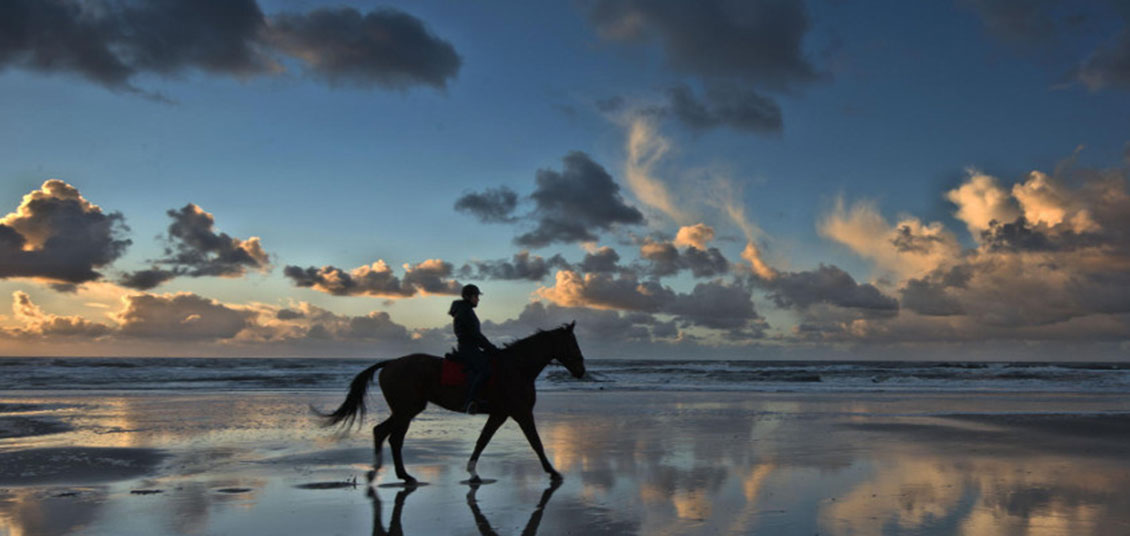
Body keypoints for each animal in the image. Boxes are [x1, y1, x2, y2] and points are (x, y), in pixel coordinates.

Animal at [318, 323, 583, 486]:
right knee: (391, 436)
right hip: (407, 409)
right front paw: (553, 472)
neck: (516, 368)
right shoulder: (521, 412)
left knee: (383, 433)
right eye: (572, 344)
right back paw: (394, 474)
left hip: (406, 409)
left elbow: (483, 441)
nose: (582, 370)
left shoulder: (500, 414)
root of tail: (391, 363)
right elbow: (536, 443)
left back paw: (388, 473)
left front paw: (473, 472)